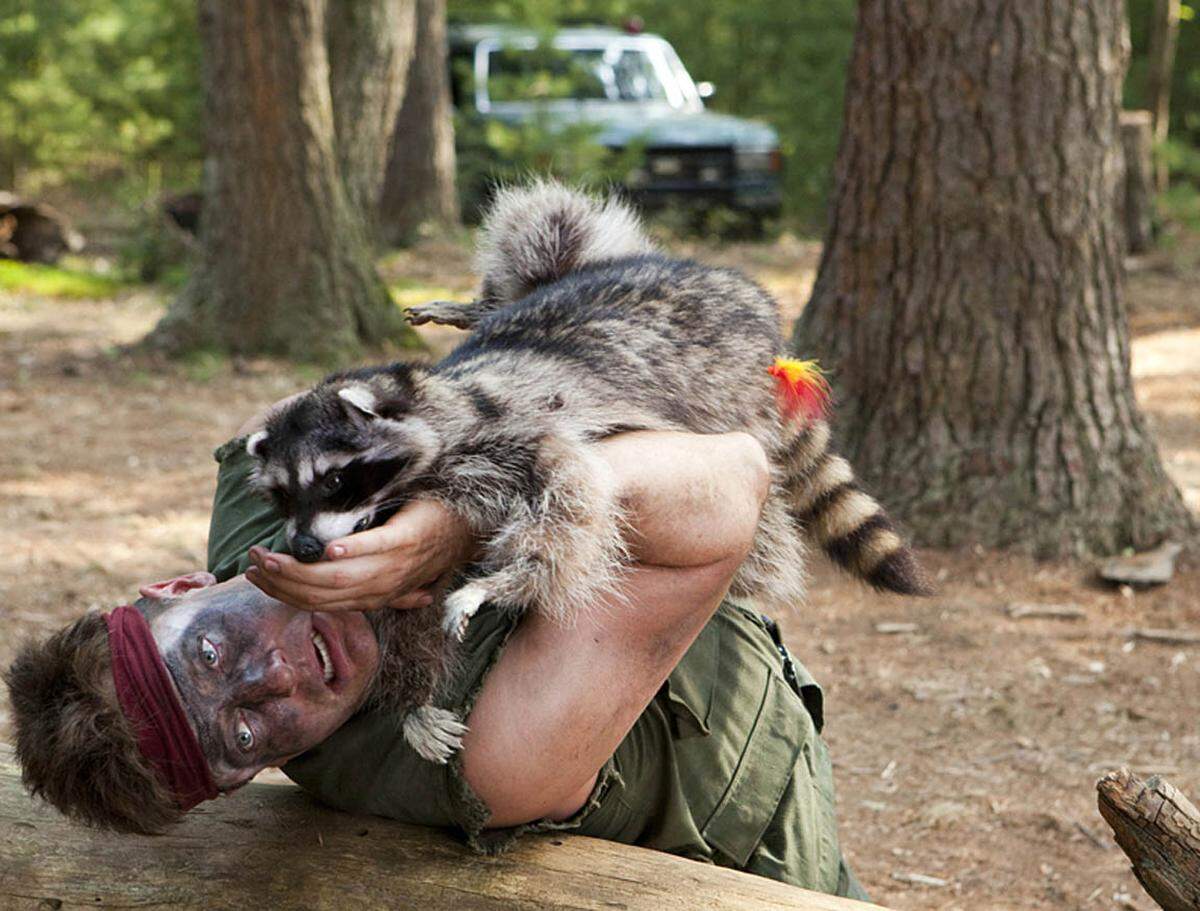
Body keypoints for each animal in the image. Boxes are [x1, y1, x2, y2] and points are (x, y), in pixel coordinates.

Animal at [248, 177, 926, 763]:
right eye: (282, 497)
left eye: (335, 480)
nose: (303, 547)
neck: (437, 403)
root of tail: (746, 301)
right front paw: (412, 697)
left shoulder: (514, 435)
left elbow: (570, 498)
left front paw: (505, 582)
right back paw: (479, 305)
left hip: (723, 387)